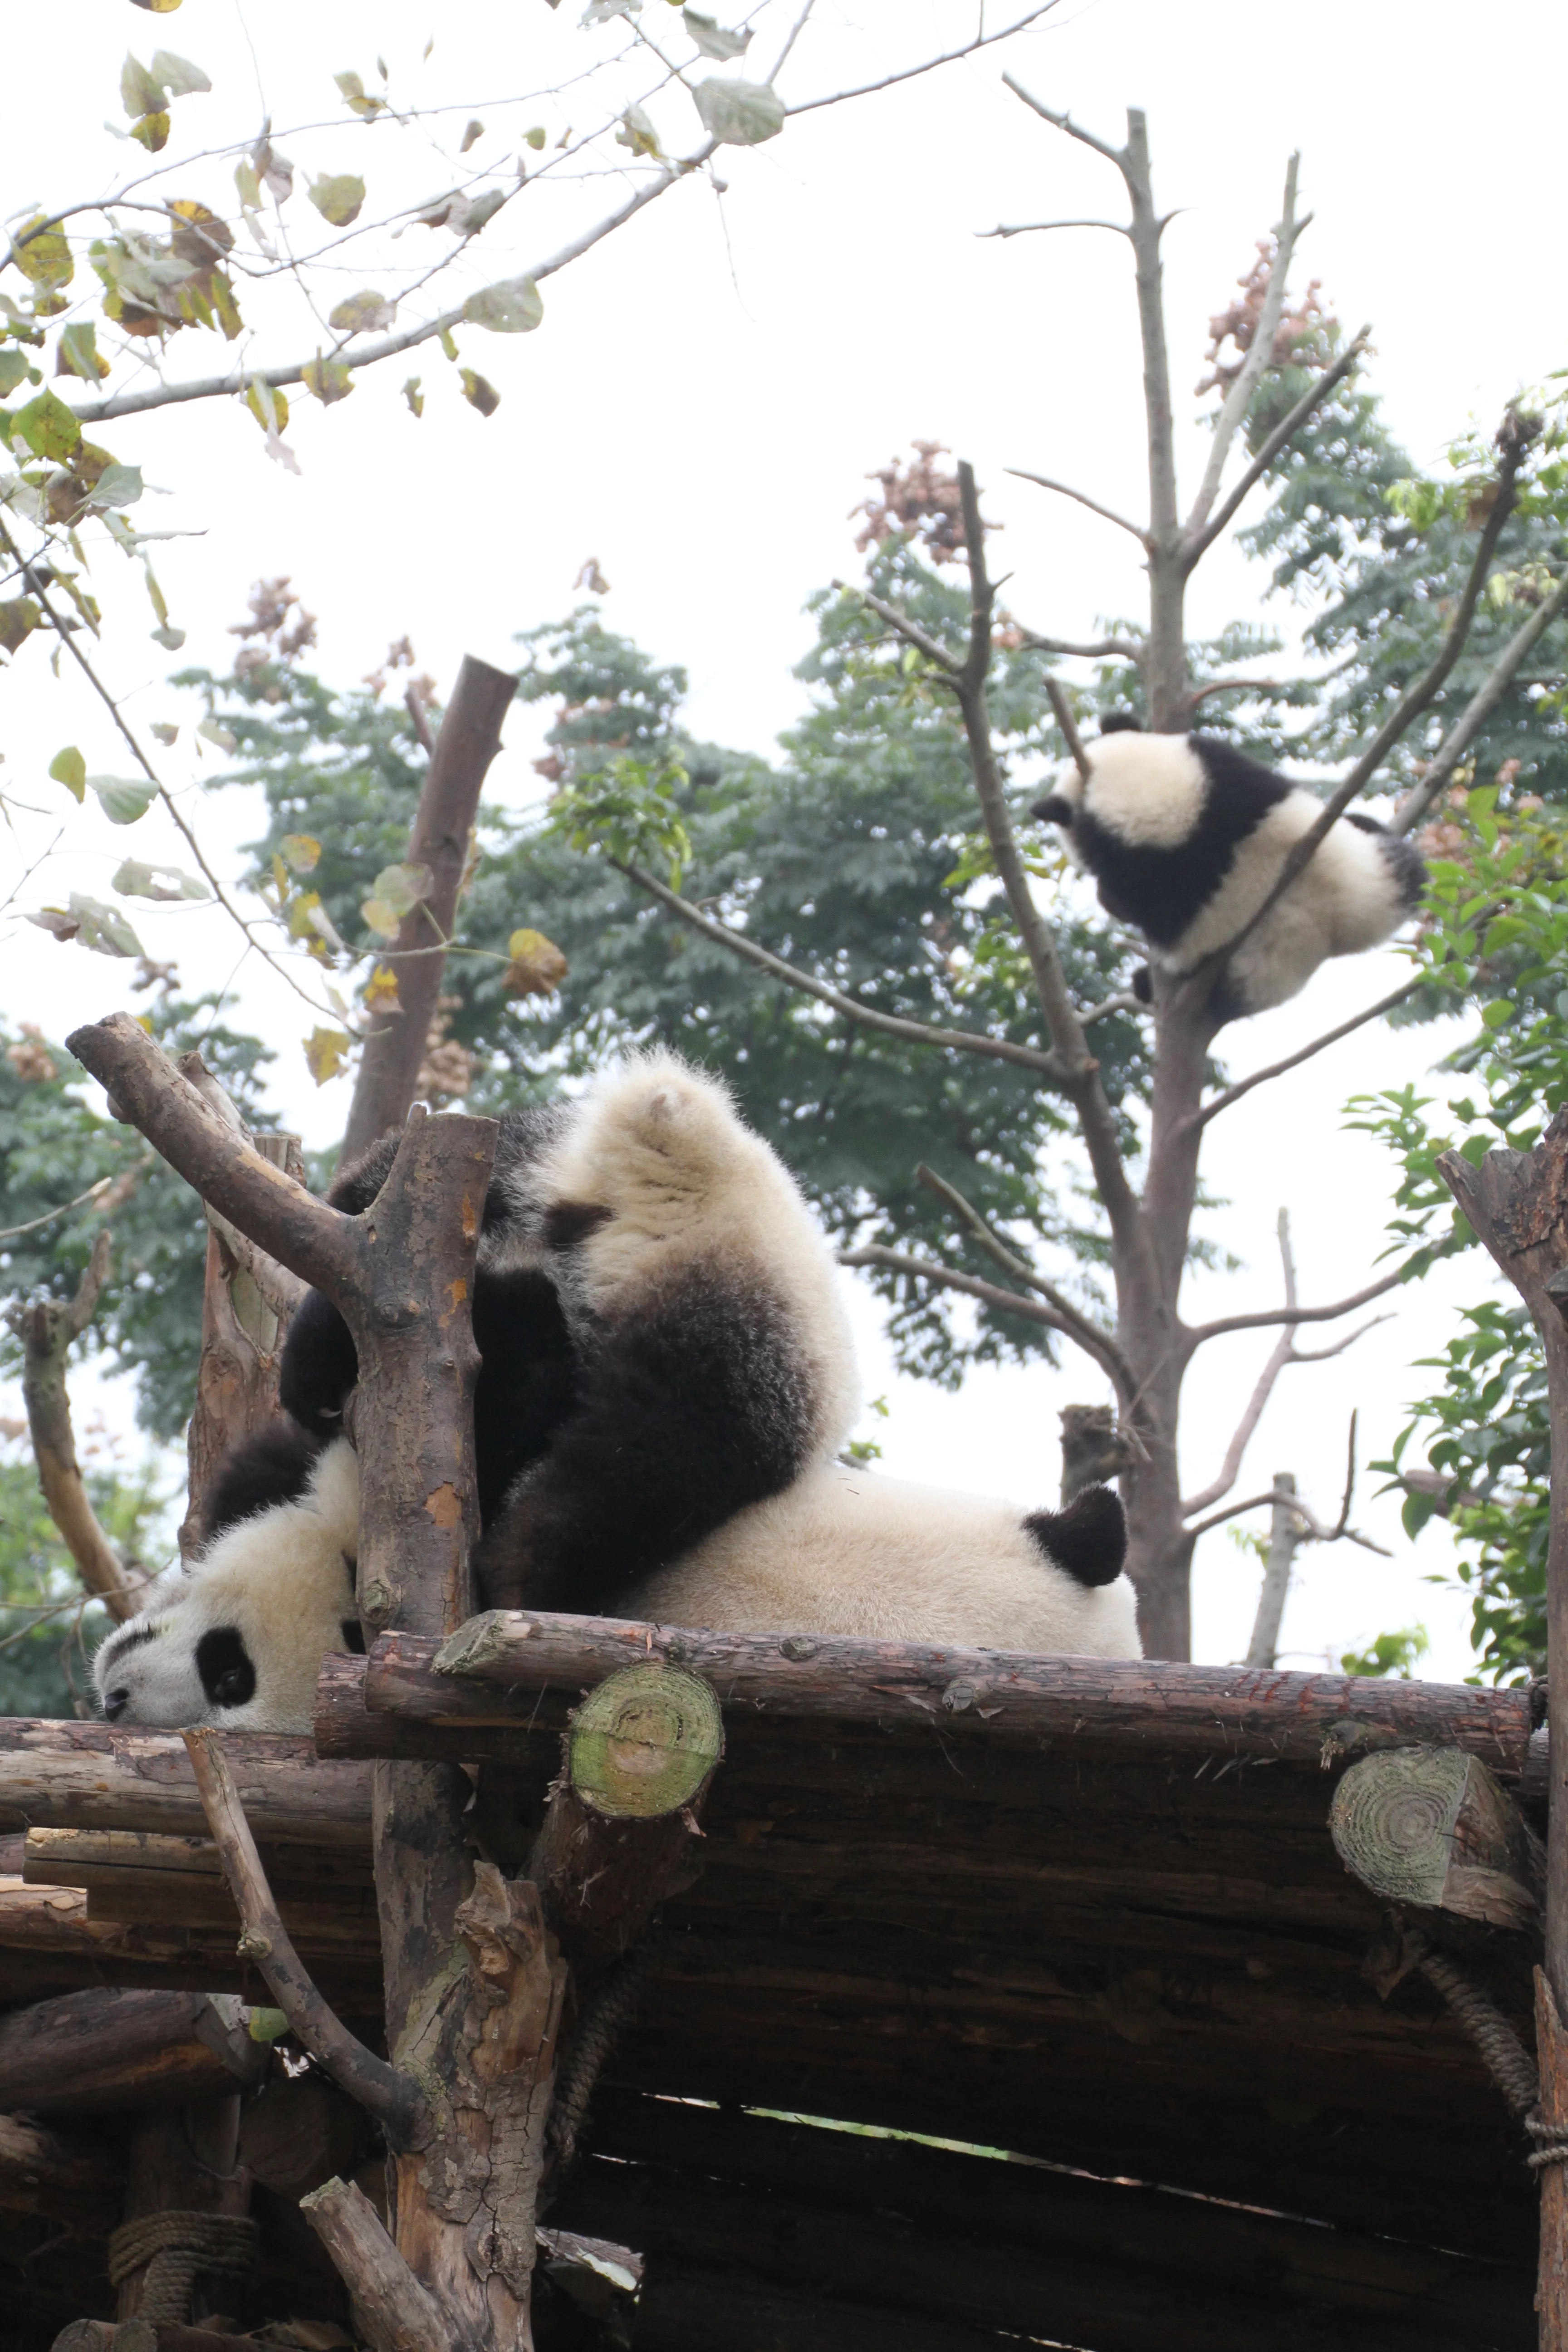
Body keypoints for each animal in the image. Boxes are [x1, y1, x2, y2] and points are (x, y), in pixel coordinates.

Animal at [1031, 719, 1426, 1022]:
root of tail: (1339, 920)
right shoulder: (1232, 772)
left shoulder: (1155, 875)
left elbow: (1148, 909)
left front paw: (1110, 900)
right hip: (1373, 875)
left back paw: (1145, 983)